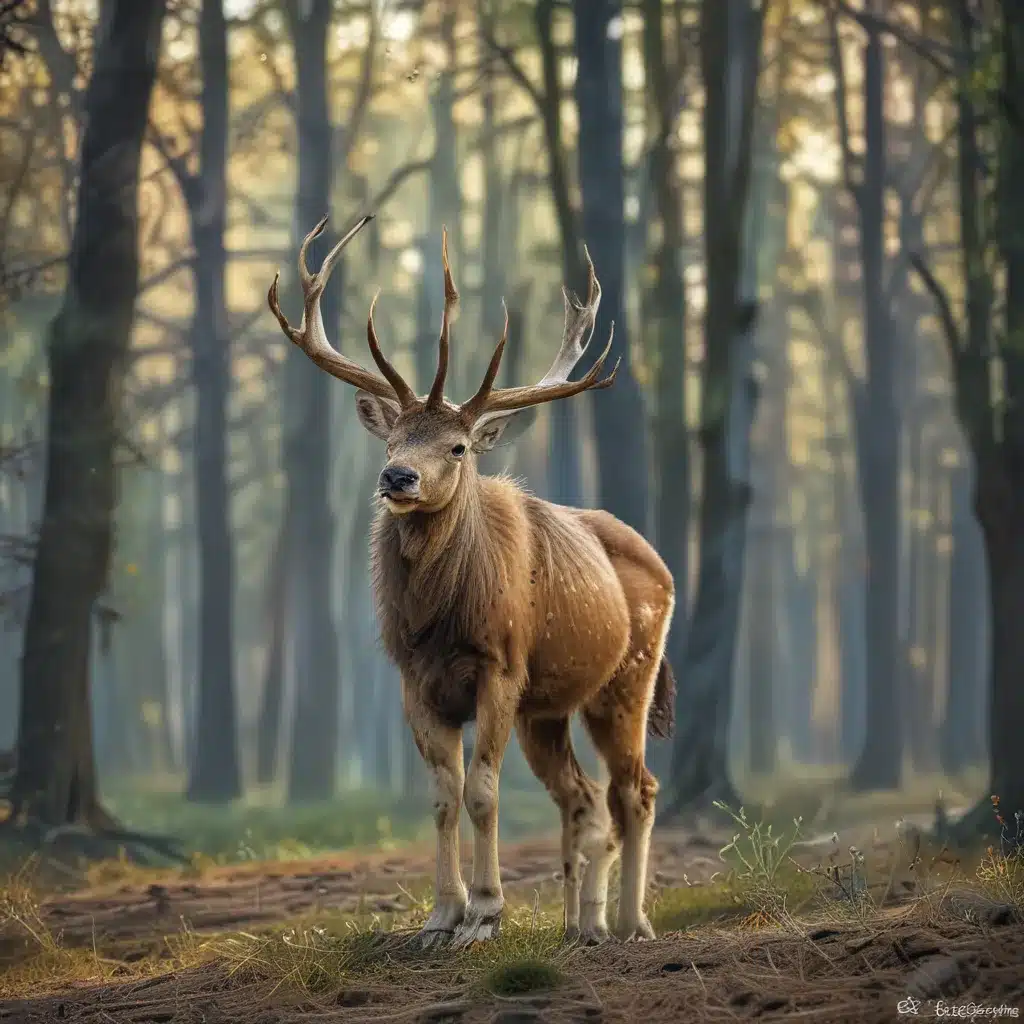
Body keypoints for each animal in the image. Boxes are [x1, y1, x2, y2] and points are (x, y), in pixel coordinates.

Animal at [268, 211, 675, 946]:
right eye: (392, 439)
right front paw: (440, 915)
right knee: (584, 797)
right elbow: (443, 795)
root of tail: (664, 568)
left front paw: (486, 912)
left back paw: (632, 923)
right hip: (550, 709)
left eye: (456, 446)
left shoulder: (501, 665)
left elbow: (484, 790)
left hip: (631, 678)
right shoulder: (413, 679)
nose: (397, 477)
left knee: (637, 790)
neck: (438, 625)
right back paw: (581, 925)